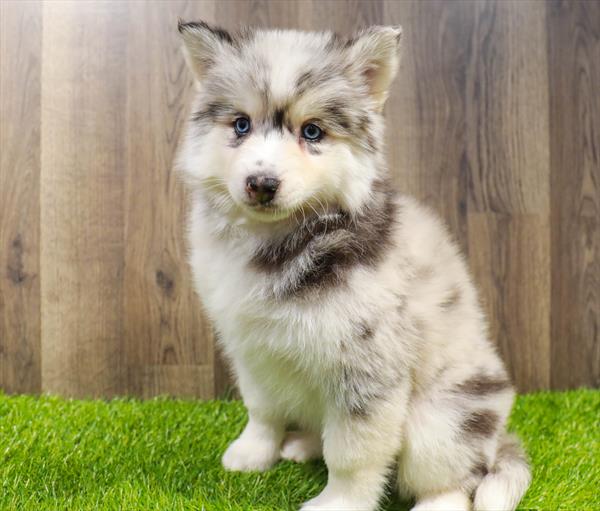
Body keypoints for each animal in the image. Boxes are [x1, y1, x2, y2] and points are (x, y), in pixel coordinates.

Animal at [176, 21, 532, 511]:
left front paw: (339, 502)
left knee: (457, 481)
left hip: (442, 421)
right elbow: (262, 408)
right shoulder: (252, 348)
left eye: (312, 132)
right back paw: (302, 443)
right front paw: (252, 453)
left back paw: (435, 503)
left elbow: (352, 451)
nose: (261, 183)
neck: (277, 242)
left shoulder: (365, 367)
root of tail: (498, 442)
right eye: (241, 124)